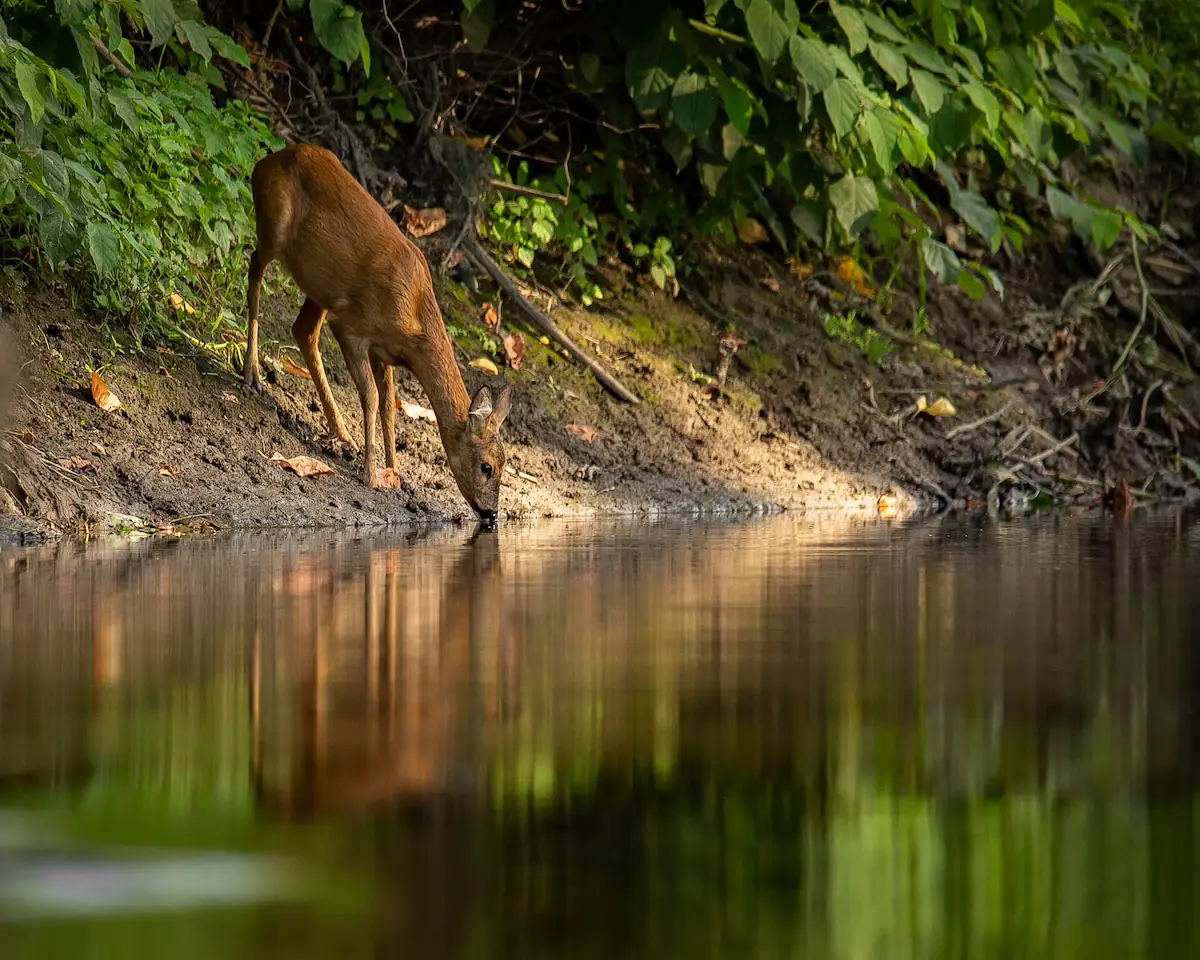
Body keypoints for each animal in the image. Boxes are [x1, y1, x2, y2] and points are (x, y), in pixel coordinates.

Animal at [238, 144, 511, 518]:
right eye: (487, 467)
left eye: (505, 464)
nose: (492, 513)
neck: (415, 319)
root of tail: (267, 160)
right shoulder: (353, 327)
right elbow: (370, 397)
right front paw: (371, 475)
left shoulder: (386, 353)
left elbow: (389, 408)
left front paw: (395, 472)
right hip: (275, 224)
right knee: (254, 270)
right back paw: (252, 373)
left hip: (321, 286)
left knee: (302, 330)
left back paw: (342, 434)